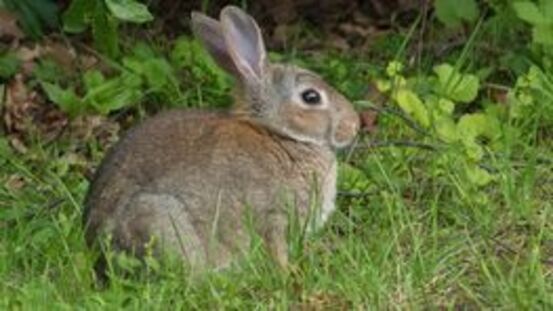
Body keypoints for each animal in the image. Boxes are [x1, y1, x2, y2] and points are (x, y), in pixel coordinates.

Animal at [81, 5, 358, 272]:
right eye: (311, 97)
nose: (354, 125)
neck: (281, 135)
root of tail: (96, 246)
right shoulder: (273, 216)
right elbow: (276, 248)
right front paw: (289, 272)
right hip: (159, 220)